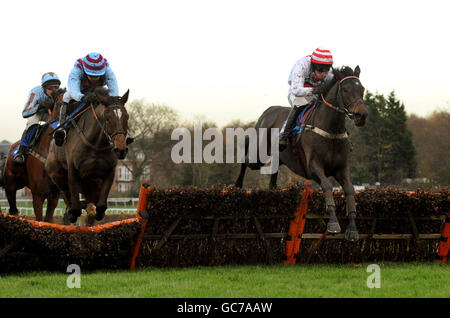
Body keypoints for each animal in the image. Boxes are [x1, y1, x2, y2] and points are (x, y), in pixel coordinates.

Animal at [0, 89, 65, 221]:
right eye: (60, 104)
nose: (60, 135)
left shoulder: (54, 195)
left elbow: (48, 220)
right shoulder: (38, 194)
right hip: (10, 186)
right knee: (13, 210)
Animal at [45, 87, 130, 224]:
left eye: (126, 117)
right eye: (107, 119)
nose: (121, 150)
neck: (96, 144)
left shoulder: (110, 171)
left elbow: (101, 206)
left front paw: (97, 213)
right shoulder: (73, 170)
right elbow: (74, 204)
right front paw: (72, 212)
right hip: (55, 172)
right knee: (66, 193)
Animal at [234, 66, 368, 241]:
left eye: (362, 89)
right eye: (346, 89)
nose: (362, 115)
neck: (330, 130)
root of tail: (267, 111)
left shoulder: (341, 168)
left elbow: (350, 190)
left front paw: (352, 228)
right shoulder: (313, 167)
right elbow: (327, 185)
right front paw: (333, 223)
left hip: (277, 159)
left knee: (272, 180)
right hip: (258, 155)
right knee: (245, 157)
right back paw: (237, 186)